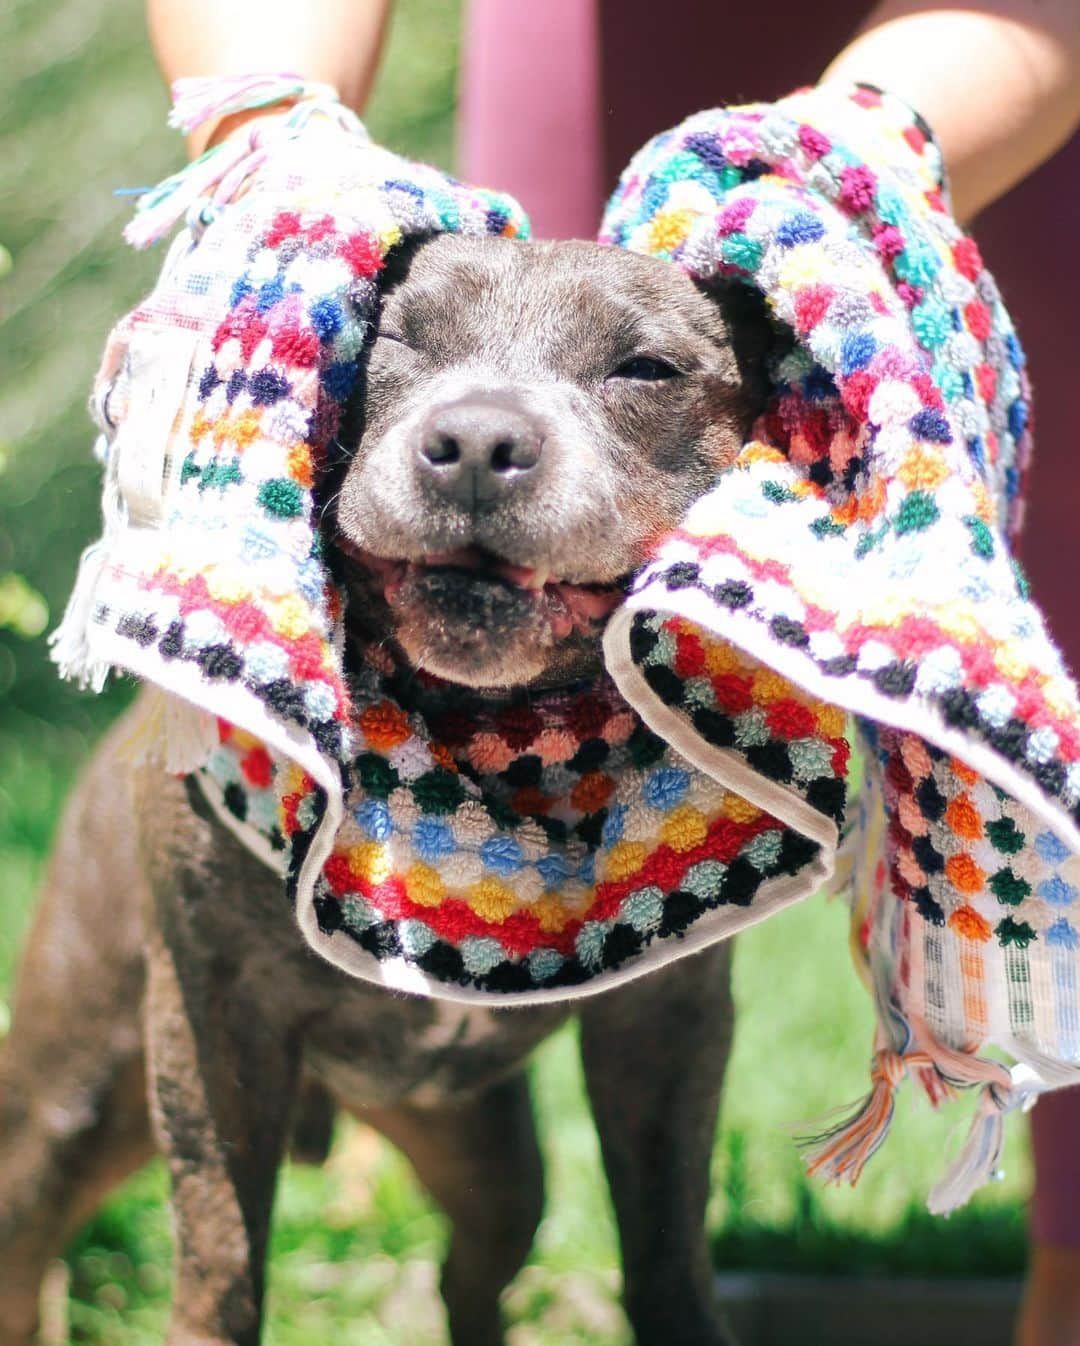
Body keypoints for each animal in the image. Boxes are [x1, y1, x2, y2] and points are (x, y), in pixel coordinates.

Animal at [0, 236, 764, 1346]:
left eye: (647, 369)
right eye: (394, 339)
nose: (479, 440)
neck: (485, 744)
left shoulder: (666, 1029)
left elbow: (666, 1243)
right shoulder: (213, 1027)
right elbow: (220, 1262)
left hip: (483, 1156)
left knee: (473, 1271)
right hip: (60, 1109)